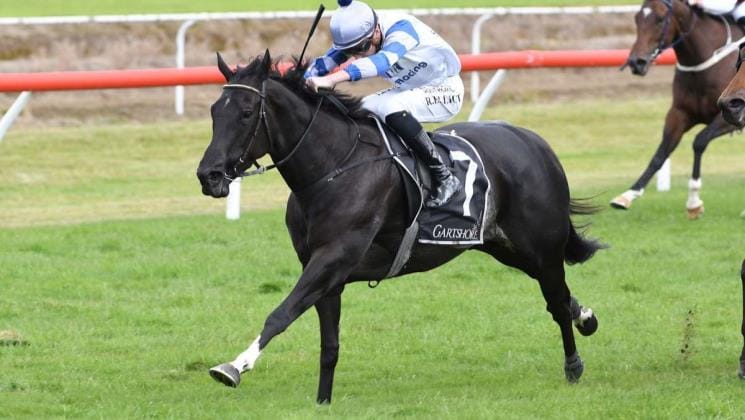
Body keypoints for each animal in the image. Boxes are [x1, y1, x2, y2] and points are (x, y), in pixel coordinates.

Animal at [196, 50, 605, 403]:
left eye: (246, 112)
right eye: (215, 111)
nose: (208, 175)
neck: (333, 167)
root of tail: (535, 142)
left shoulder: (333, 258)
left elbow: (281, 313)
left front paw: (234, 366)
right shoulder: (326, 272)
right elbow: (329, 344)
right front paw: (322, 401)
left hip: (542, 245)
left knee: (555, 300)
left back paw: (573, 365)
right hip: (502, 245)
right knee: (559, 295)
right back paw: (586, 317)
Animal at [612, 0, 743, 219]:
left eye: (660, 19)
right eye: (637, 18)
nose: (636, 62)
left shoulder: (729, 118)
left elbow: (699, 142)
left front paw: (693, 203)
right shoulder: (679, 114)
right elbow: (661, 153)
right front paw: (627, 195)